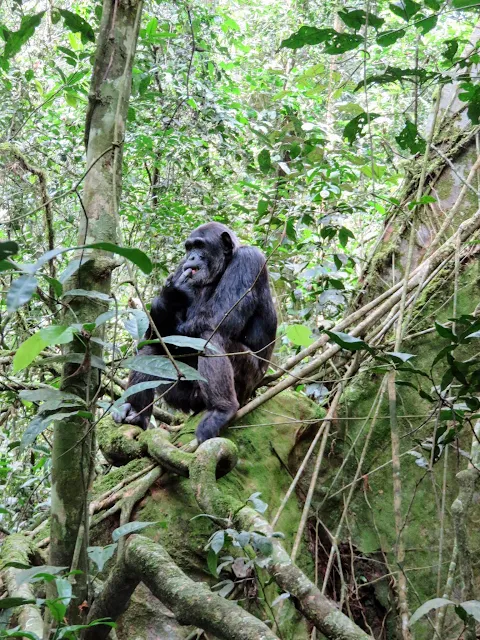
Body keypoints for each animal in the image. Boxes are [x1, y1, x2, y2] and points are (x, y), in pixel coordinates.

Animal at [113, 222, 278, 442]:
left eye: (200, 246)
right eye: (189, 248)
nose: (191, 258)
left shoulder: (248, 261)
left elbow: (217, 317)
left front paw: (173, 292)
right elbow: (155, 335)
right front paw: (168, 296)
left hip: (246, 383)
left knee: (210, 338)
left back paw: (222, 410)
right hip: (185, 397)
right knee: (152, 348)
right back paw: (135, 413)